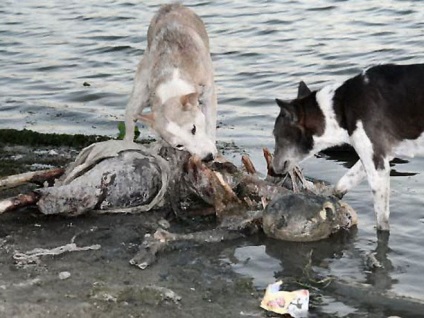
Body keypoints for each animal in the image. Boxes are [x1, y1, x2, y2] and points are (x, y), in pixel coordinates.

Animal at [272, 62, 424, 231]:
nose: (273, 168)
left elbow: (381, 220)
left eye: (276, 135)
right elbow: (344, 182)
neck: (339, 108)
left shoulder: (378, 165)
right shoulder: (376, 155)